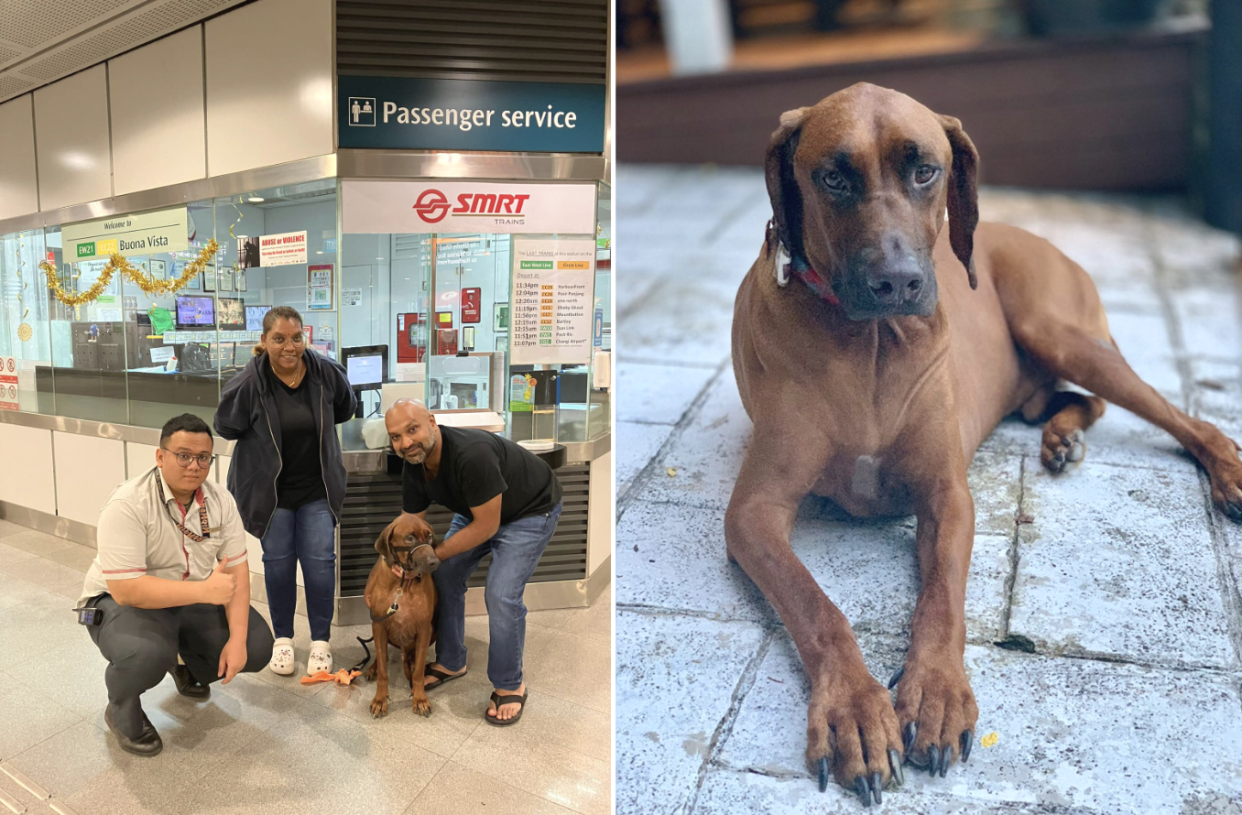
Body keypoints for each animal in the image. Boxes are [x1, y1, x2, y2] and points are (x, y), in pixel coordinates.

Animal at [362, 511, 442, 715]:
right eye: (410, 538)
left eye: (429, 536)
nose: (434, 562)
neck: (403, 584)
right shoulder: (379, 624)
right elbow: (383, 670)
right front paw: (380, 699)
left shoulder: (424, 628)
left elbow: (419, 672)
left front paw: (420, 698)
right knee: (381, 655)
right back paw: (373, 667)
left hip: (433, 632)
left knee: (413, 657)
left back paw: (411, 663)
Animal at [725, 79, 1242, 805]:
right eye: (832, 176)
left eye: (925, 170)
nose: (898, 283)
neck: (870, 344)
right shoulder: (754, 513)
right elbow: (815, 604)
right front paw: (854, 710)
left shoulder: (947, 495)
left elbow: (942, 596)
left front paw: (937, 692)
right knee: (1074, 400)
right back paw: (1060, 438)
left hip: (1058, 330)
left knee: (1183, 417)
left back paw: (1224, 470)